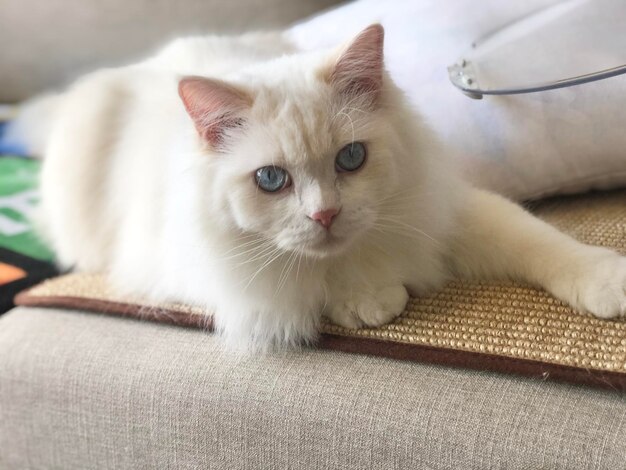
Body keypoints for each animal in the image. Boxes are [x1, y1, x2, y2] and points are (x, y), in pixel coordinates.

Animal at [31, 25, 624, 348]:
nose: (325, 216)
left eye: (351, 158)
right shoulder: (204, 275)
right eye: (271, 179)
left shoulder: (451, 210)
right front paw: (372, 301)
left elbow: (540, 241)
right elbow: (311, 277)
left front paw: (608, 284)